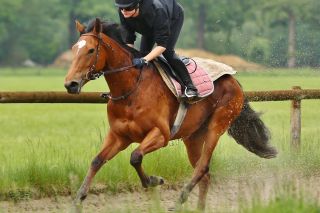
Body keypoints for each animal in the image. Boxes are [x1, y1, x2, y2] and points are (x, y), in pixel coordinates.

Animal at [63, 17, 276, 211]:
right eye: (74, 49)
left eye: (91, 50)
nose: (70, 84)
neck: (132, 89)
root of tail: (234, 80)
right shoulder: (120, 136)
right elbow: (97, 160)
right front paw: (78, 198)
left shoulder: (161, 135)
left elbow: (135, 156)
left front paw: (154, 180)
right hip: (193, 136)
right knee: (205, 175)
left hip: (217, 125)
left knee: (203, 167)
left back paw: (179, 201)